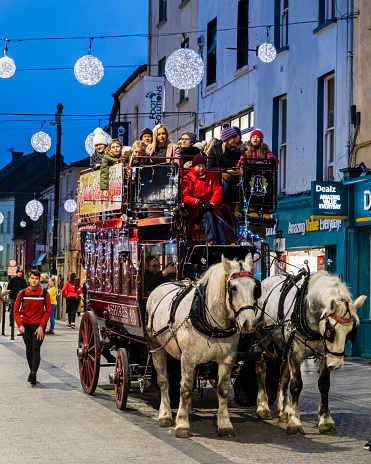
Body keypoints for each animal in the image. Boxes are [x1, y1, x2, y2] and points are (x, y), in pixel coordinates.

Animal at [147, 254, 260, 438]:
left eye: (255, 287)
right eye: (233, 287)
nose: (248, 324)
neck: (214, 326)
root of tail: (162, 285)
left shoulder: (227, 359)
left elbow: (222, 389)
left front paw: (224, 424)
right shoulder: (188, 358)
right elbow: (185, 388)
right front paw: (182, 424)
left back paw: (187, 411)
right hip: (157, 347)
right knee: (164, 380)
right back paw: (165, 415)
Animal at [254, 272, 368, 436]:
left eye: (350, 332)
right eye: (330, 331)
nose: (336, 364)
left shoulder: (324, 354)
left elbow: (324, 385)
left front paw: (325, 421)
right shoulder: (295, 353)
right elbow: (296, 385)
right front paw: (295, 422)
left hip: (284, 345)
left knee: (284, 376)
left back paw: (284, 411)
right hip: (261, 340)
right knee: (261, 370)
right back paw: (263, 408)